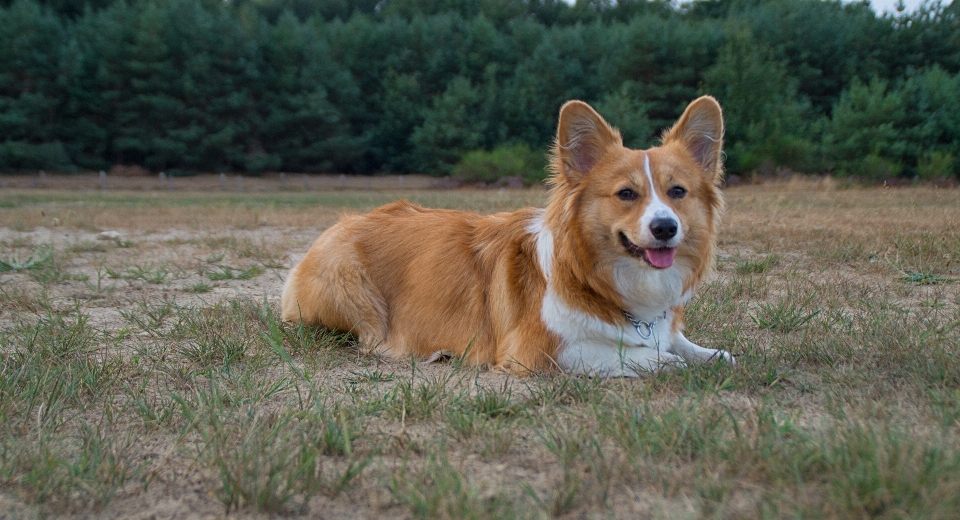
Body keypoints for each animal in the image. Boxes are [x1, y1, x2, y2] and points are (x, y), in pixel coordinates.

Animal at [282, 95, 732, 376]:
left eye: (677, 192)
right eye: (626, 194)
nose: (665, 227)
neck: (599, 277)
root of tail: (340, 222)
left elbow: (686, 344)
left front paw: (710, 354)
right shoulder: (539, 350)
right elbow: (625, 352)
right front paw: (660, 361)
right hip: (352, 291)